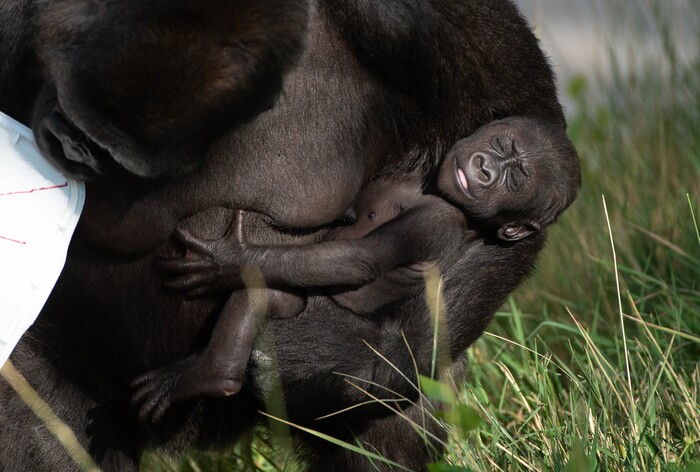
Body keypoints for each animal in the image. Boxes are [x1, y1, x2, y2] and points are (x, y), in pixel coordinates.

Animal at [129, 116, 581, 423]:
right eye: (503, 144)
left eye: (516, 180)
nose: (487, 169)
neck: (436, 192)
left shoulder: (437, 221)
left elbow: (360, 259)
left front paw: (230, 259)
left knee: (262, 297)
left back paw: (212, 375)